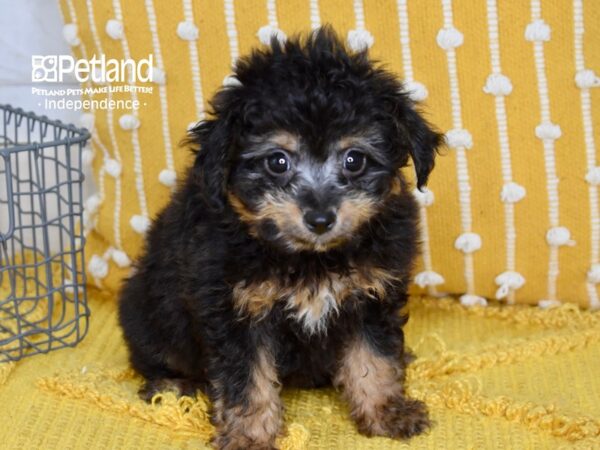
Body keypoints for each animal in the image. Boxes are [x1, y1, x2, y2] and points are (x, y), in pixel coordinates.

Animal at [119, 26, 442, 448]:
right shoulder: (235, 310)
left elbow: (374, 358)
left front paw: (386, 411)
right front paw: (248, 435)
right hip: (147, 312)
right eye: (277, 161)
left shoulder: (372, 296)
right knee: (155, 354)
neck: (310, 259)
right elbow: (246, 379)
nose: (320, 219)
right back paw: (172, 386)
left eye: (354, 160)